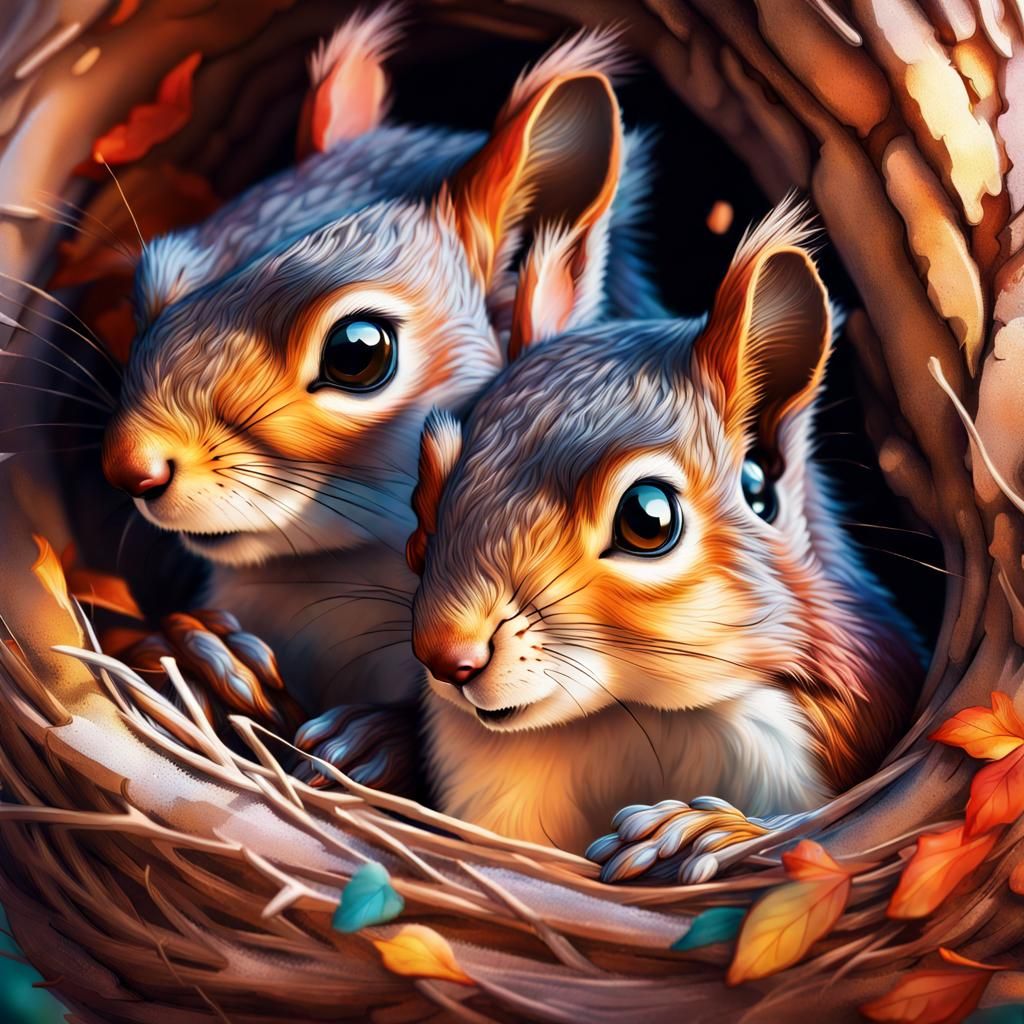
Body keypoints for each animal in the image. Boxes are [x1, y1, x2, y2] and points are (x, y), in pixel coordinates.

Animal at [99, 7, 662, 787]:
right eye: (144, 294)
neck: (327, 582)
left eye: (357, 352)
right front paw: (194, 653)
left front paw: (377, 740)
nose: (128, 467)